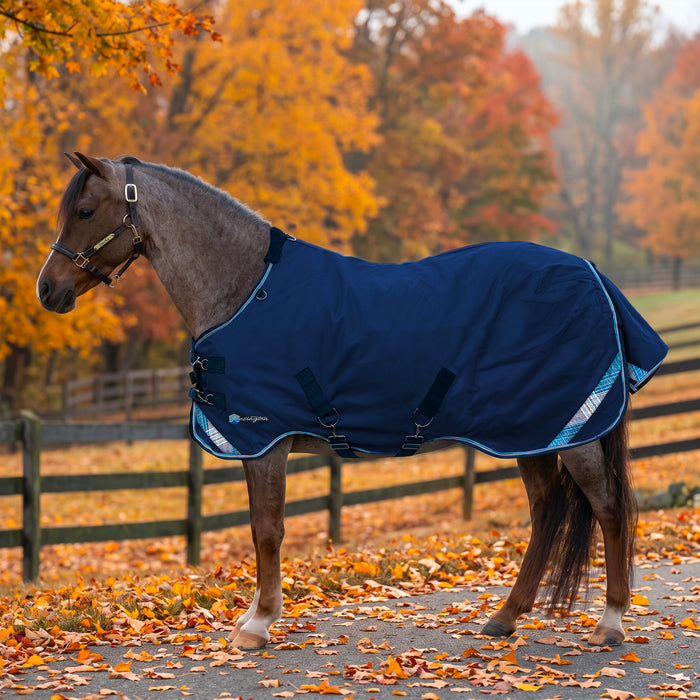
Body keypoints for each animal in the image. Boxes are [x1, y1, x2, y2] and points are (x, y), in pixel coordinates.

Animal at [37, 153, 667, 650]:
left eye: (86, 211)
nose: (48, 290)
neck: (244, 290)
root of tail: (592, 274)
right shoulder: (257, 446)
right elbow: (259, 528)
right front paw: (253, 617)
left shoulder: (264, 440)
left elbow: (267, 530)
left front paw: (258, 625)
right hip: (531, 433)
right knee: (546, 511)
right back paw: (505, 618)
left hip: (573, 431)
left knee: (609, 509)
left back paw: (610, 623)